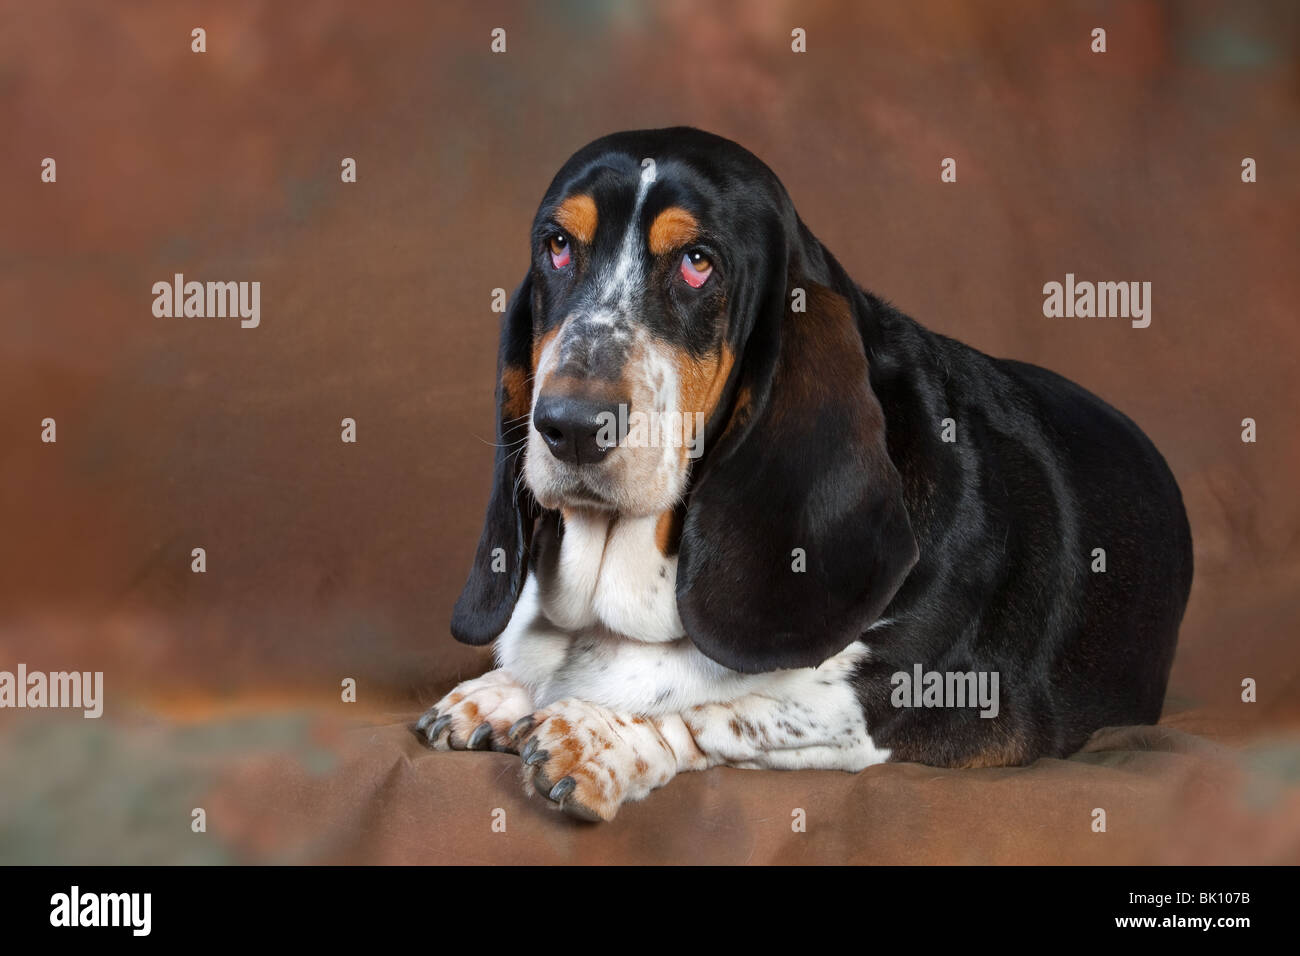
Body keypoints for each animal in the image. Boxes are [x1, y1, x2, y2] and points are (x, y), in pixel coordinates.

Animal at [410, 127, 1190, 822]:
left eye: (699, 262)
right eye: (558, 246)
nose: (570, 425)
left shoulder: (940, 700)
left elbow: (731, 705)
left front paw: (596, 733)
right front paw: (499, 692)